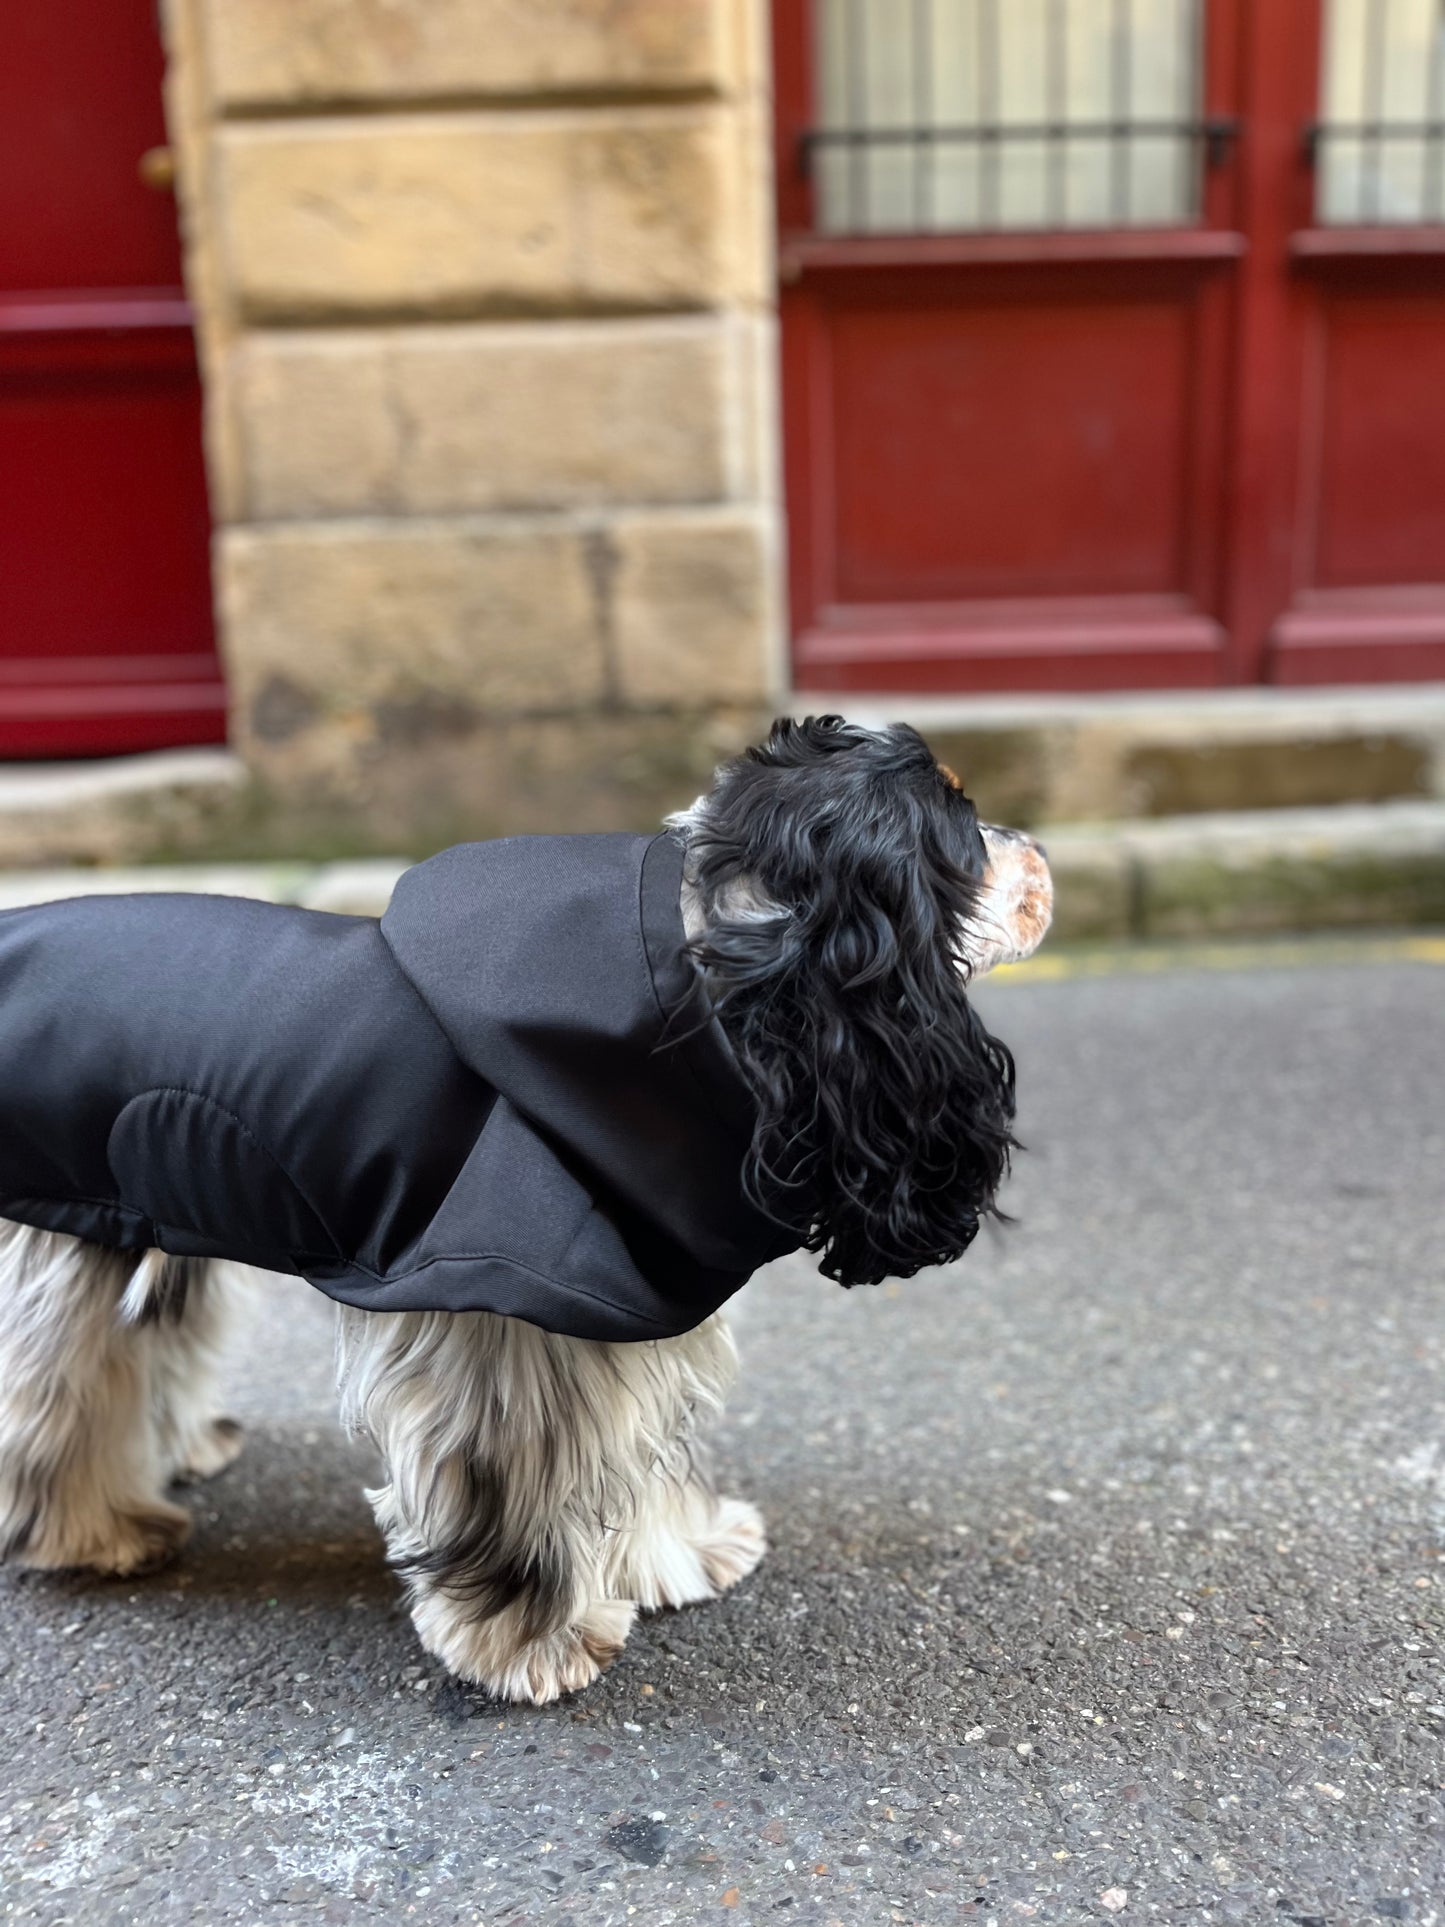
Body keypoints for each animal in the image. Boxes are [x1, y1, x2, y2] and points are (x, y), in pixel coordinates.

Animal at [0, 720, 1055, 1703]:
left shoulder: (626, 1310)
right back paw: (97, 1529)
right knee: (58, 1385)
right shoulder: (505, 1320)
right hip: (63, 1227)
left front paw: (679, 1553)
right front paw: (532, 1643)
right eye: (962, 822)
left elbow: (643, 1454)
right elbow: (514, 1487)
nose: (1041, 850)